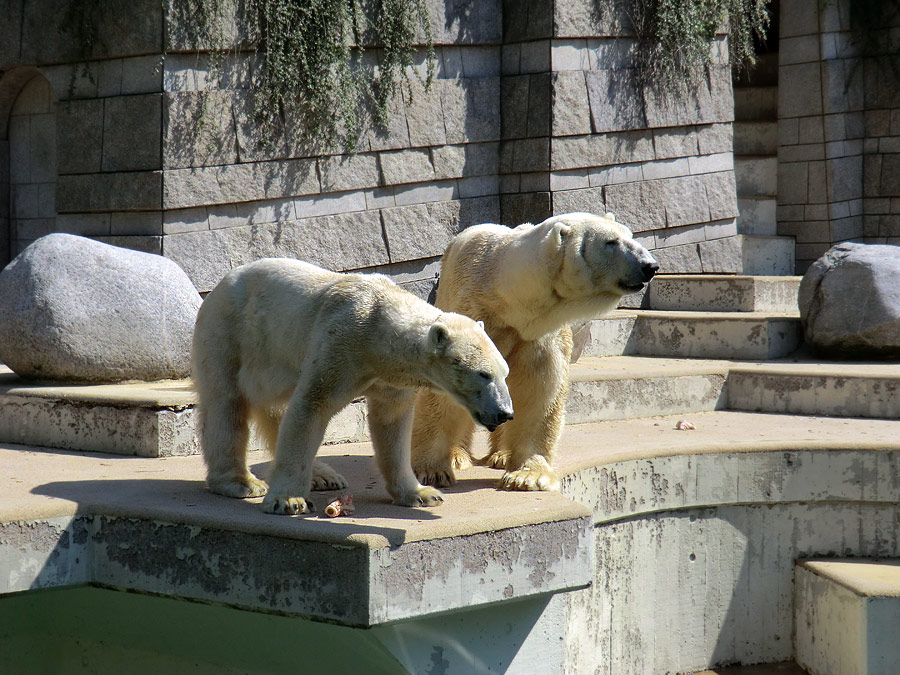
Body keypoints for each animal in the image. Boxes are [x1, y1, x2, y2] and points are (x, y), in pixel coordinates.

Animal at [192, 260, 510, 516]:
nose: (505, 413)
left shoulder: (390, 378)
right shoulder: (339, 345)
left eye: (504, 372)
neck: (377, 324)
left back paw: (323, 476)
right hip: (229, 335)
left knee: (275, 408)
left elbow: (392, 423)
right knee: (226, 405)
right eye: (483, 374)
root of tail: (217, 288)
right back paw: (241, 482)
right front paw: (289, 501)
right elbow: (311, 407)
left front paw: (421, 494)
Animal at [412, 211, 656, 492]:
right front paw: (432, 471)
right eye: (611, 241)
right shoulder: (473, 312)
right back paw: (457, 456)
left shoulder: (541, 333)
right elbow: (448, 388)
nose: (650, 265)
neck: (508, 300)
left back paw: (501, 455)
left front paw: (527, 476)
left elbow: (539, 390)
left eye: (630, 235)